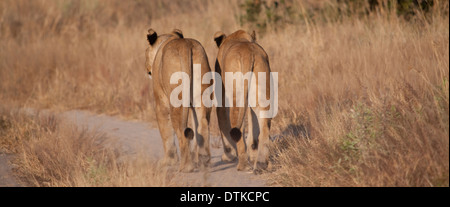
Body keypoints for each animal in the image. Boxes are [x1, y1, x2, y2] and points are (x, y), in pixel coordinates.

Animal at [145, 28, 214, 172]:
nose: (147, 69)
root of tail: (185, 45)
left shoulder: (160, 102)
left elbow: (166, 132)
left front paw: (168, 161)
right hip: (202, 94)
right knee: (203, 124)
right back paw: (203, 160)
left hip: (176, 101)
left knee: (182, 132)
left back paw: (186, 167)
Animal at [214, 29, 272, 171]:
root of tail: (248, 53)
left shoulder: (221, 98)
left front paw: (227, 156)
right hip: (261, 93)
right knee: (264, 124)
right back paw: (261, 163)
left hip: (236, 97)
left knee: (237, 128)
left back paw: (243, 164)